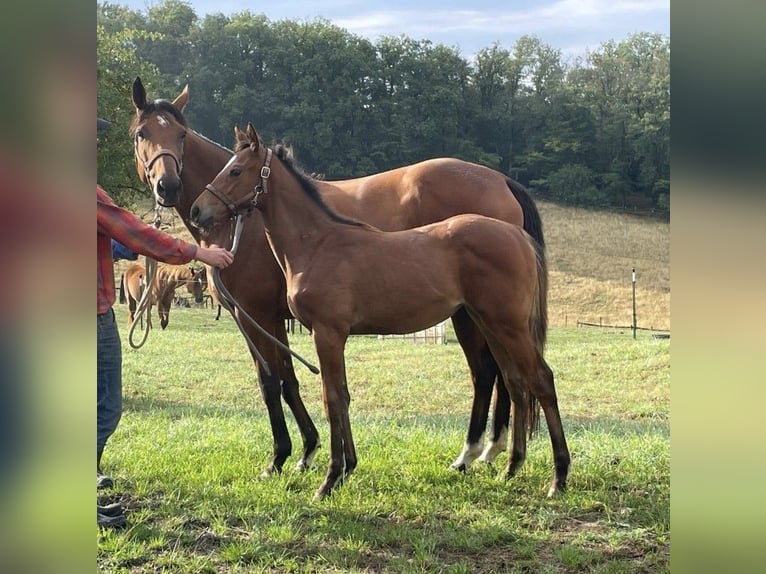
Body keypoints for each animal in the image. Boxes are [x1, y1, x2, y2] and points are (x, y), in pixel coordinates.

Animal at [130, 77, 548, 476]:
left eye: (181, 135)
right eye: (142, 133)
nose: (168, 187)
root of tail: (502, 181)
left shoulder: (256, 315)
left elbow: (273, 381)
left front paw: (286, 455)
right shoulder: (269, 319)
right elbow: (288, 379)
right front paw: (311, 452)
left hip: (478, 315)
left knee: (490, 372)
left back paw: (480, 451)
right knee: (499, 372)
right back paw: (486, 452)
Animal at [189, 124, 569, 500]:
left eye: (236, 170)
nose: (197, 210)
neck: (317, 244)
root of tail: (518, 236)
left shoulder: (326, 332)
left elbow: (331, 398)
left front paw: (329, 479)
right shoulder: (325, 333)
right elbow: (341, 395)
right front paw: (346, 470)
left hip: (508, 324)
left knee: (540, 379)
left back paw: (557, 477)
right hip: (489, 322)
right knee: (515, 380)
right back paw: (510, 466)